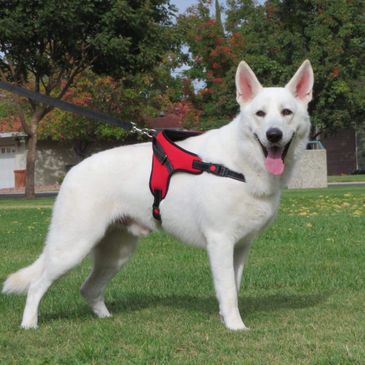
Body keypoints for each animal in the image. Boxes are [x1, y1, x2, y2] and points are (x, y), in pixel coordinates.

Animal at [2, 60, 312, 330]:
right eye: (260, 114)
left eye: (286, 112)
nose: (273, 135)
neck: (240, 163)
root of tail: (72, 172)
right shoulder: (220, 242)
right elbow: (227, 291)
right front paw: (236, 327)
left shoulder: (241, 246)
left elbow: (232, 289)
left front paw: (227, 319)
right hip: (72, 247)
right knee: (37, 285)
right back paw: (29, 324)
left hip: (116, 253)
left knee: (88, 288)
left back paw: (106, 319)